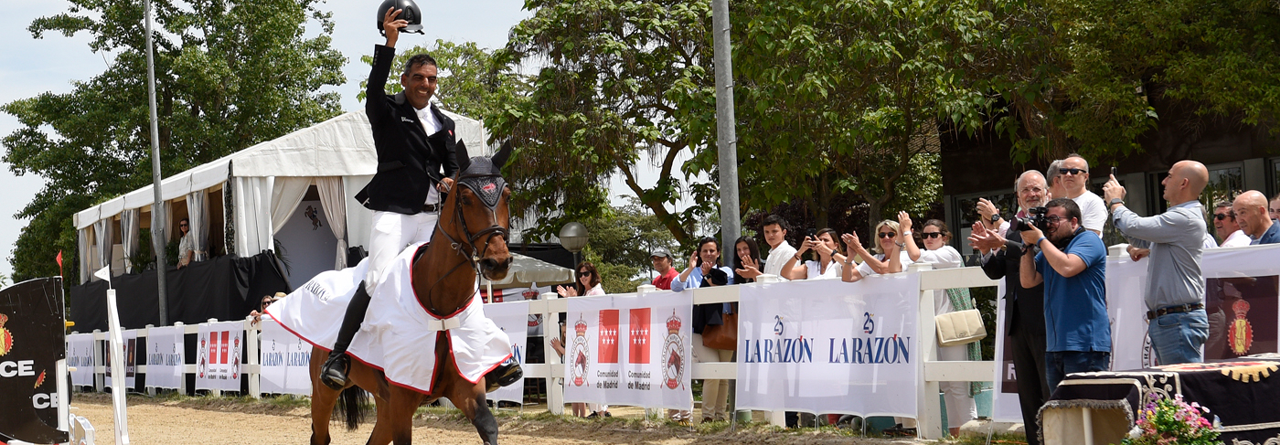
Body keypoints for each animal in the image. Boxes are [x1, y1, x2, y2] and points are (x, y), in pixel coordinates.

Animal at [312, 141, 517, 445]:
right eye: (465, 198)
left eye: (506, 195)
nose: (498, 262)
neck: (441, 304)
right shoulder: (401, 399)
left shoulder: (466, 386)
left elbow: (488, 425)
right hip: (325, 391)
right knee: (320, 435)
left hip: (384, 406)